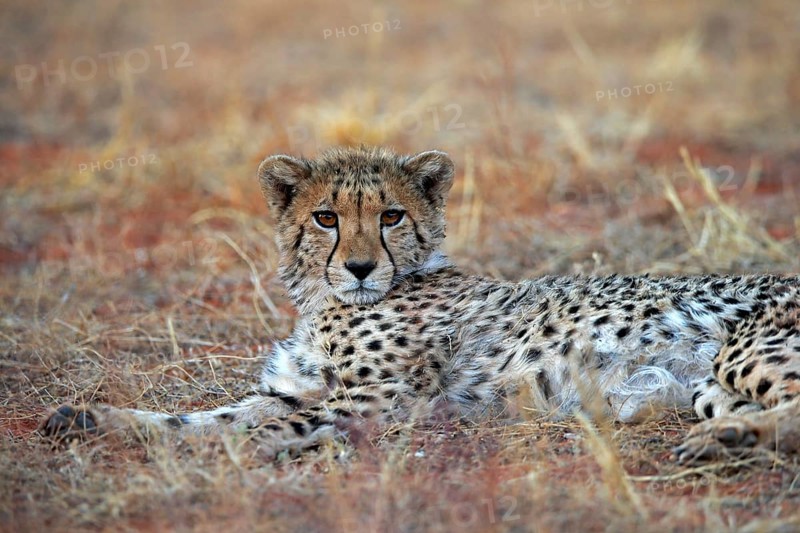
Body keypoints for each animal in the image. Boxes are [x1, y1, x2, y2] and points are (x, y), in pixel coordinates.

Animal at [42, 145, 800, 464]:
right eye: (325, 217)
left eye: (392, 216)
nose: (359, 266)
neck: (326, 301)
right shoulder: (293, 390)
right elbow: (202, 416)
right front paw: (92, 417)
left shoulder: (382, 400)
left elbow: (257, 428)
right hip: (707, 385)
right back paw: (726, 439)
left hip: (743, 349)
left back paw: (721, 442)